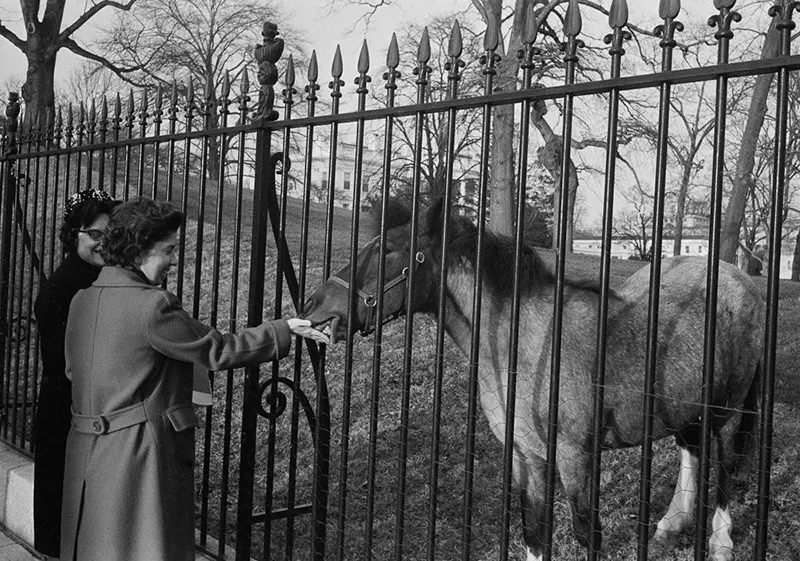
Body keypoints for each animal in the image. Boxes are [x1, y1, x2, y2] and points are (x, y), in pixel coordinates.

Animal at [302, 199, 764, 556]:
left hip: (726, 410)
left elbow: (586, 534)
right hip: (685, 407)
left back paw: (720, 544)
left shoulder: (576, 459)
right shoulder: (526, 458)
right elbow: (534, 535)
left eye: (388, 249)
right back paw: (671, 526)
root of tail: (740, 277)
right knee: (692, 451)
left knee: (723, 467)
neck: (527, 344)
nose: (315, 304)